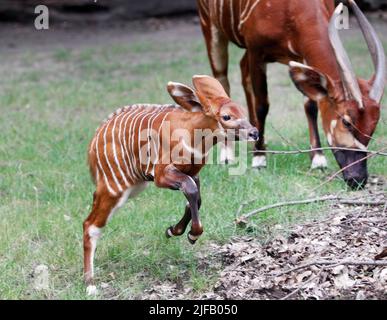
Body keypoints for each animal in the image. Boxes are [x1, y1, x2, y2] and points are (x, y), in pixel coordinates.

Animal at [85, 75, 260, 296]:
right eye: (226, 116)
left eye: (242, 111)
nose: (255, 133)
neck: (191, 135)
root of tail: (94, 143)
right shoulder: (162, 176)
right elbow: (192, 192)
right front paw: (192, 234)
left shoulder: (192, 175)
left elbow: (195, 198)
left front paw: (174, 230)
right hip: (114, 188)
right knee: (90, 225)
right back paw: (90, 285)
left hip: (132, 187)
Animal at [199, 0, 386, 189]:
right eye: (346, 122)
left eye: (373, 126)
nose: (357, 179)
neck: (291, 9)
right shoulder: (256, 52)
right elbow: (262, 105)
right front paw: (259, 158)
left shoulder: (301, 56)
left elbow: (310, 106)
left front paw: (318, 159)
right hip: (211, 28)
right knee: (221, 79)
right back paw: (227, 154)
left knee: (243, 71)